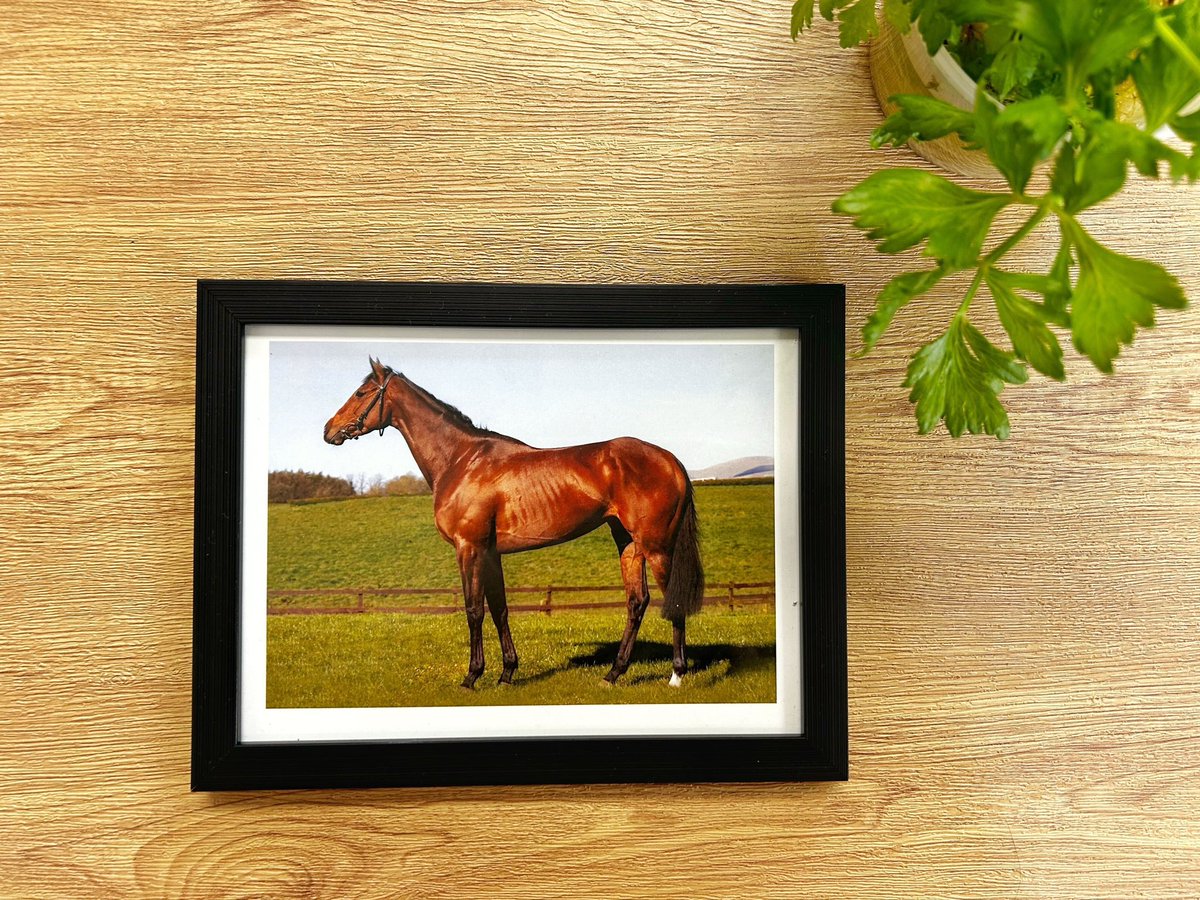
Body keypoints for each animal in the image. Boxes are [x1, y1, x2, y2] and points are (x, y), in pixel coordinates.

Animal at [323, 357, 705, 689]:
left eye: (361, 393)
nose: (328, 430)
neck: (461, 460)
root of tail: (671, 461)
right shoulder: (491, 553)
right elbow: (499, 609)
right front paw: (507, 673)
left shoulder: (469, 548)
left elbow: (474, 609)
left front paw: (472, 676)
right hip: (627, 542)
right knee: (636, 602)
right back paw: (613, 674)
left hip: (656, 546)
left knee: (672, 600)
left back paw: (676, 675)